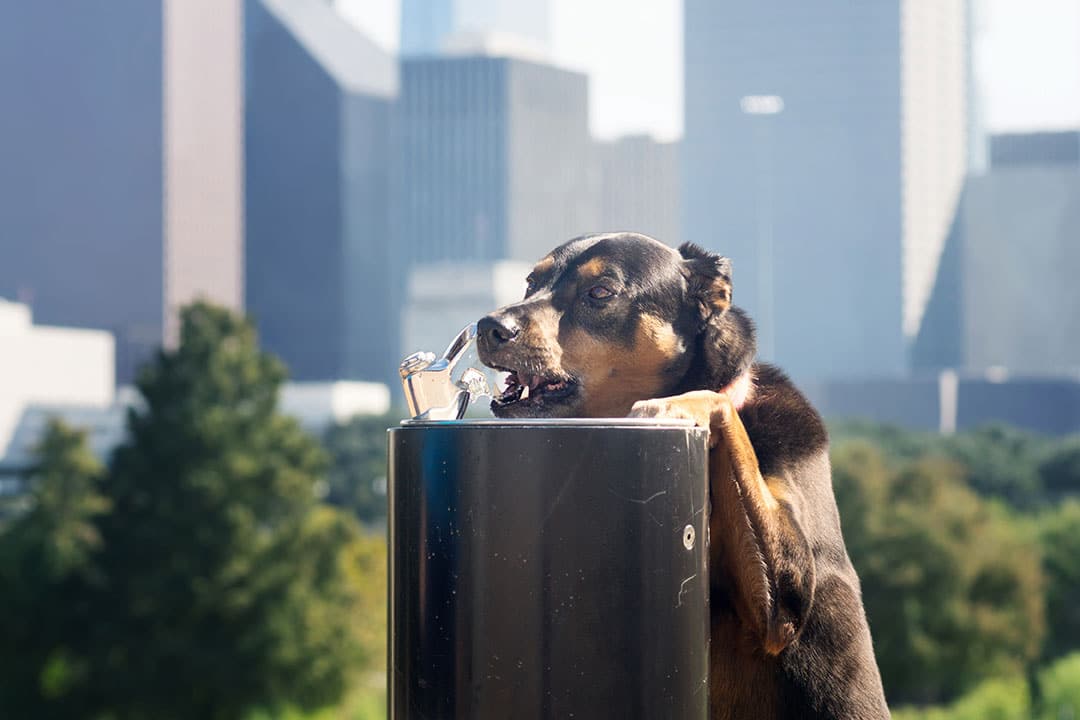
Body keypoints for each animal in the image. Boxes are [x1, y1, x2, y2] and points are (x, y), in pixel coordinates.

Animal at [477, 234, 889, 716]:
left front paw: (676, 405)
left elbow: (717, 402)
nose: (488, 327)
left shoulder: (784, 607)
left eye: (600, 292)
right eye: (531, 282)